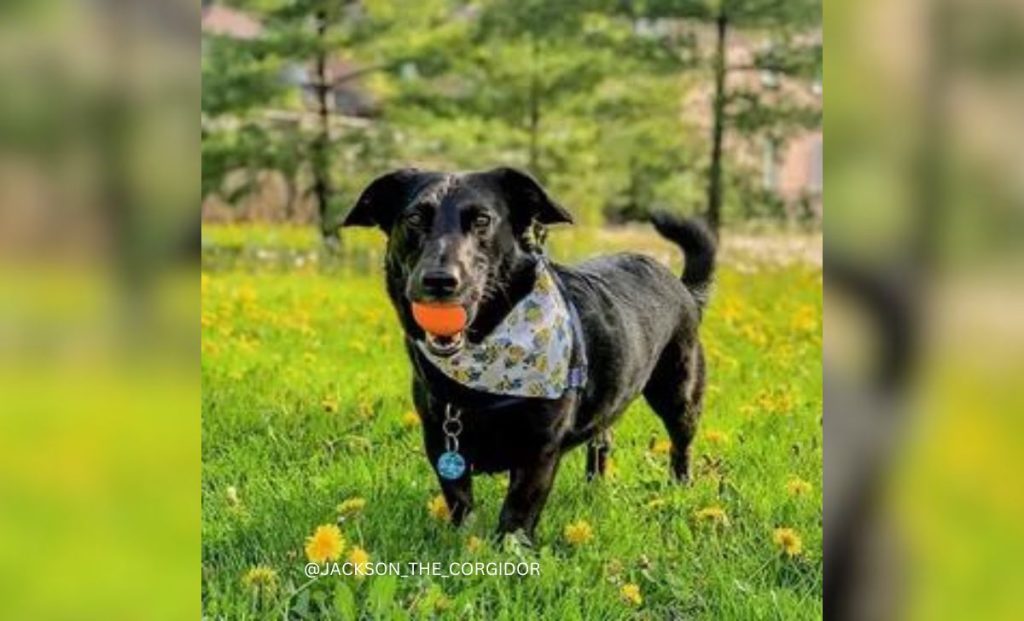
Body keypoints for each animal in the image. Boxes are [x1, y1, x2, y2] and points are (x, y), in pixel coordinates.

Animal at [344, 167, 712, 541]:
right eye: (415, 218)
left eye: (482, 220)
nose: (439, 280)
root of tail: (682, 287)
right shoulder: (440, 440)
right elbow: (460, 501)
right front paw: (466, 542)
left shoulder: (539, 450)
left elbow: (517, 510)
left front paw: (509, 548)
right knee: (602, 440)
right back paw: (594, 488)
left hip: (680, 395)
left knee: (681, 445)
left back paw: (680, 488)